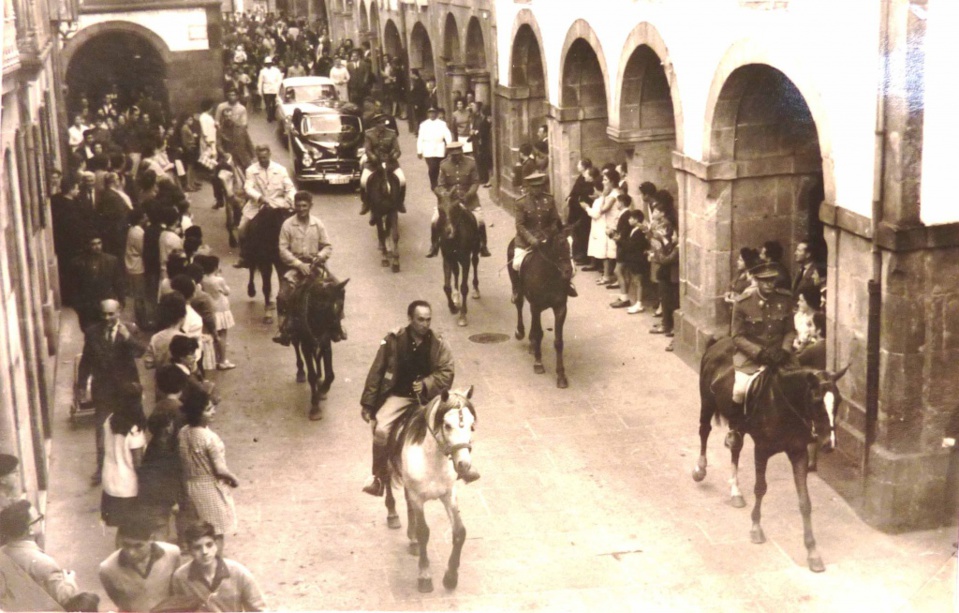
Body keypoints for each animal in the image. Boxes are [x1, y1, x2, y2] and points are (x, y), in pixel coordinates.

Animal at [380, 388, 474, 592]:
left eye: (472, 426)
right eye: (447, 425)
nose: (464, 465)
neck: (433, 459)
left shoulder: (449, 494)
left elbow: (459, 532)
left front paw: (451, 577)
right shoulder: (418, 497)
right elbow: (424, 532)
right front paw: (424, 576)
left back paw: (412, 539)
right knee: (386, 480)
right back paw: (392, 514)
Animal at [510, 231, 568, 388]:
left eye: (571, 245)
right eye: (560, 245)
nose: (569, 271)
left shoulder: (560, 308)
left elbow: (558, 341)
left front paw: (561, 375)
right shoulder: (536, 306)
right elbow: (539, 333)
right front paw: (538, 363)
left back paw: (531, 343)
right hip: (520, 290)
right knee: (519, 304)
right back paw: (520, 332)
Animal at [688, 334, 848, 568]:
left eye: (839, 400)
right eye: (817, 401)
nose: (829, 443)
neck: (784, 405)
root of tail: (720, 341)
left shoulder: (798, 452)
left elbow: (805, 501)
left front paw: (812, 551)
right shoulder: (762, 450)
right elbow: (760, 488)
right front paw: (756, 528)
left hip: (737, 422)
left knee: (735, 448)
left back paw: (735, 491)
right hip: (707, 402)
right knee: (704, 431)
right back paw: (700, 469)